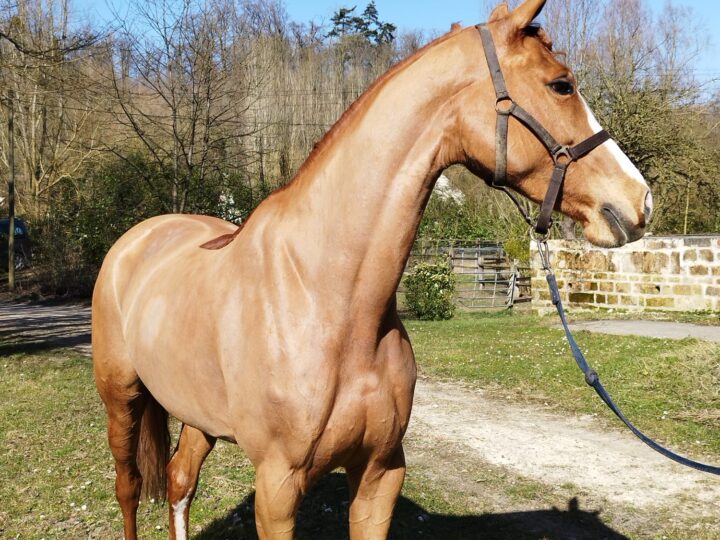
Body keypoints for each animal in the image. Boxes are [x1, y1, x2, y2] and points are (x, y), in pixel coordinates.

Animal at [92, 1, 652, 538]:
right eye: (562, 85)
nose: (640, 200)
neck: (328, 299)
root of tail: (139, 238)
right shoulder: (277, 486)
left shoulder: (380, 473)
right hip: (121, 400)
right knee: (129, 488)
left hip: (198, 417)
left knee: (180, 482)